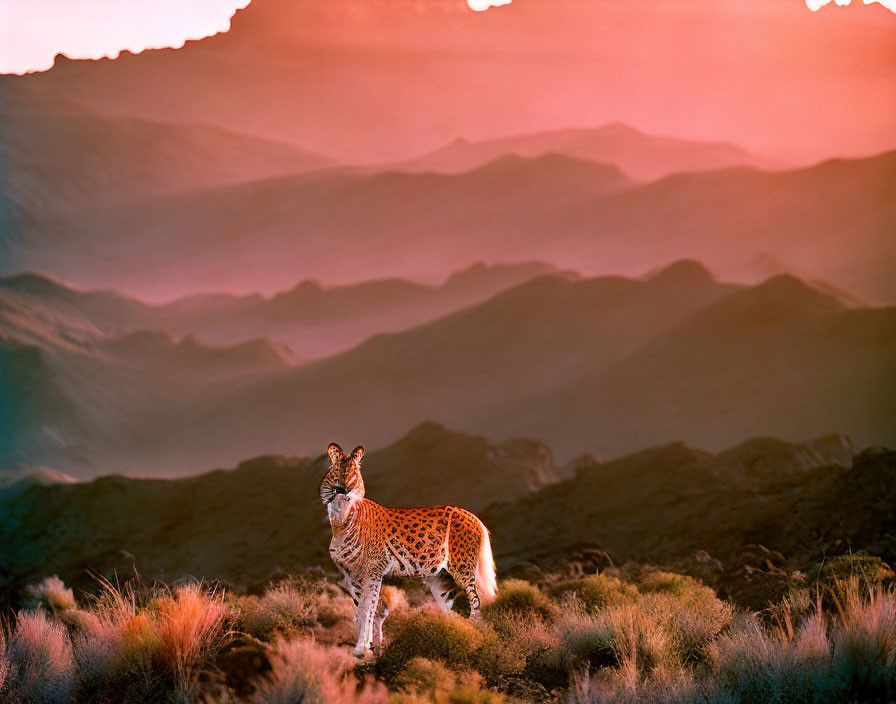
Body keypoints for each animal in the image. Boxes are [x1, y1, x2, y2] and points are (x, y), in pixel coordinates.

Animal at [318, 442, 496, 656]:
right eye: (338, 471)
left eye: (354, 473)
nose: (346, 490)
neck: (340, 519)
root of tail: (473, 515)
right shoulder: (350, 575)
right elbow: (360, 611)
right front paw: (367, 648)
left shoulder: (372, 572)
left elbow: (367, 608)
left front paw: (363, 649)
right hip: (440, 581)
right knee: (451, 611)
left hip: (462, 570)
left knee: (476, 602)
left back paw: (477, 637)